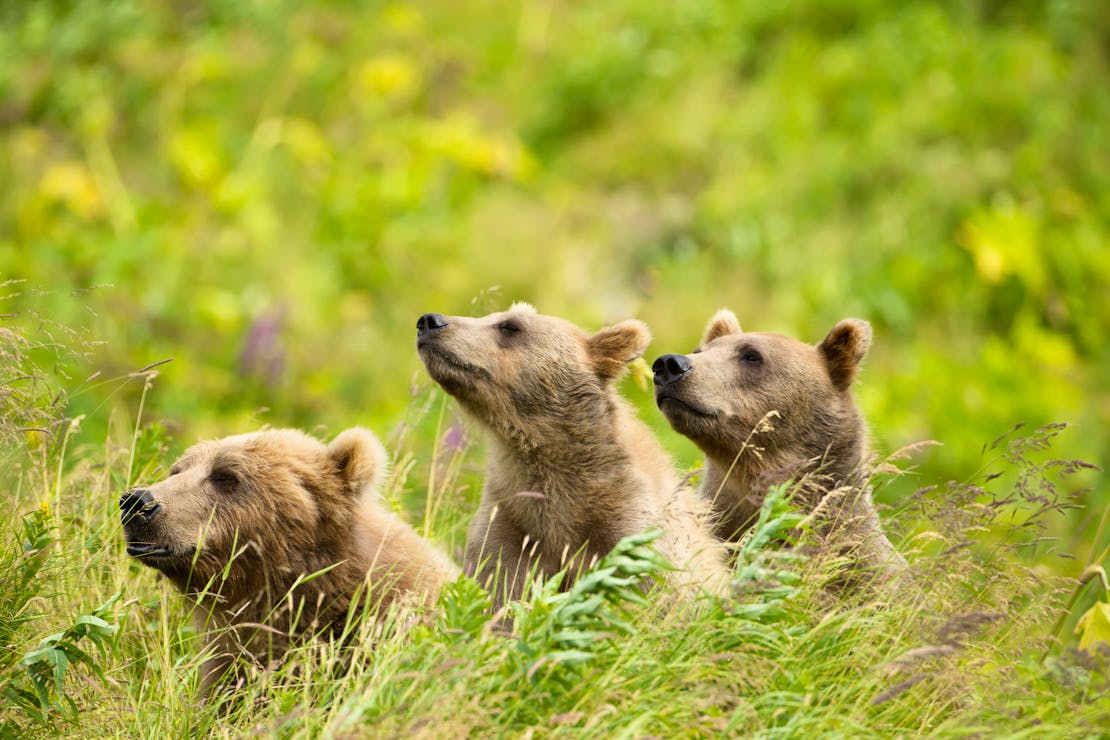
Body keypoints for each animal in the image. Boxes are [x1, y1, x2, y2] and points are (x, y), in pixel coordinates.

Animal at [417, 303, 728, 612]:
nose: (430, 322)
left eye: (510, 326)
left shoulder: (631, 526)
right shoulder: (512, 522)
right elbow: (500, 590)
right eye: (491, 317)